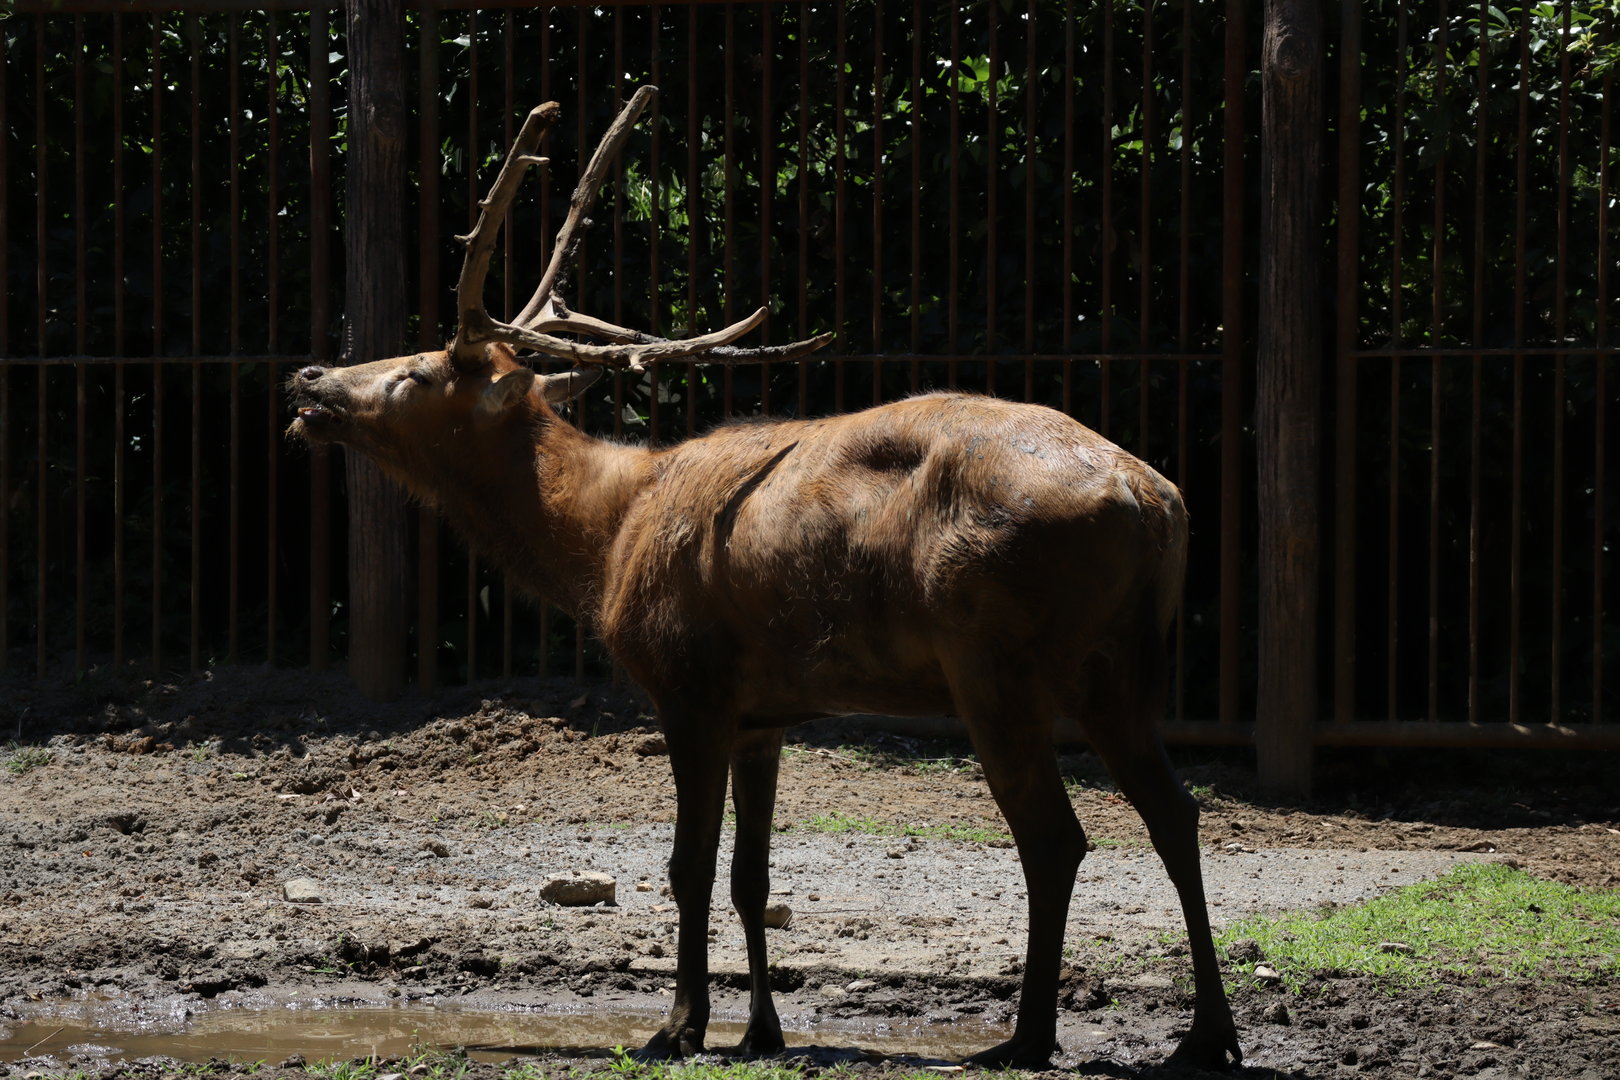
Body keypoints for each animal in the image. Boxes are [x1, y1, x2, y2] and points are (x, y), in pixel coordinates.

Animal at [288, 86, 1241, 1071]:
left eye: (417, 371)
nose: (311, 374)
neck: (602, 536)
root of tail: (1155, 501)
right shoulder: (765, 714)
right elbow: (753, 875)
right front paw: (760, 1029)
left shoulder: (689, 683)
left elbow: (688, 866)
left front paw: (678, 1026)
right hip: (1120, 667)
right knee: (1177, 815)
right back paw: (1205, 1035)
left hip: (995, 657)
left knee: (1054, 837)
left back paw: (1026, 1037)